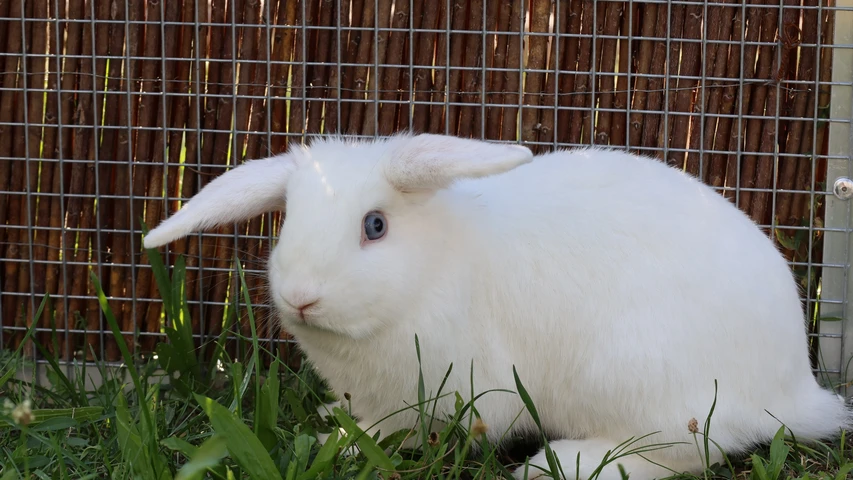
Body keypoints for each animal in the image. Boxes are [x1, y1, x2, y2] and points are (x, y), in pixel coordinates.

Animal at [143, 133, 852, 480]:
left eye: (375, 226)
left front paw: (336, 443)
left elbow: (405, 431)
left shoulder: (457, 390)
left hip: (642, 384)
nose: (300, 297)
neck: (431, 271)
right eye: (288, 220)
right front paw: (332, 424)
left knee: (684, 455)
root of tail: (794, 391)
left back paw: (562, 465)